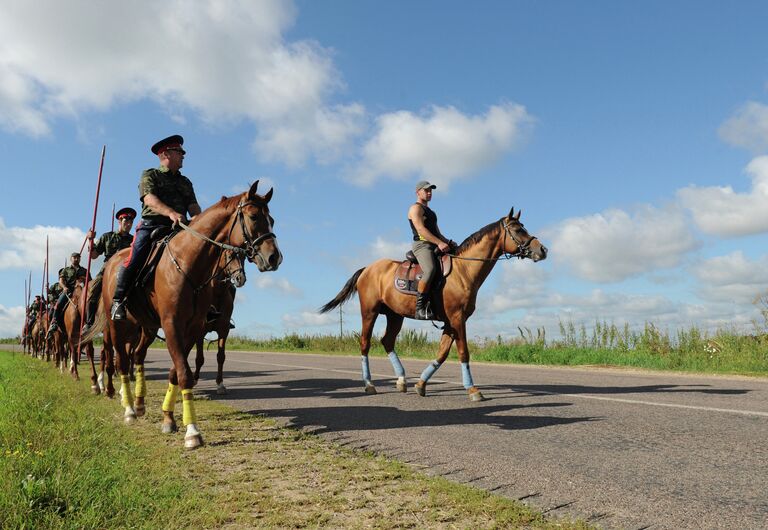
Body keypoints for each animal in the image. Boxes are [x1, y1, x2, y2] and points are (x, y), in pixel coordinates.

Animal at [85, 180, 282, 446]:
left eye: (271, 219)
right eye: (253, 216)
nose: (274, 257)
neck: (190, 263)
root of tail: (112, 264)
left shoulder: (193, 328)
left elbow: (176, 372)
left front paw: (169, 418)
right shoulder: (172, 325)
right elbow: (185, 374)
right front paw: (192, 431)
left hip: (147, 328)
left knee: (137, 357)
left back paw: (139, 403)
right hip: (117, 327)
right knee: (121, 362)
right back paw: (128, 408)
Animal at [318, 206, 544, 400]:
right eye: (518, 229)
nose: (542, 250)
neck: (463, 271)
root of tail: (367, 268)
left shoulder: (451, 322)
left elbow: (442, 354)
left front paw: (420, 384)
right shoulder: (457, 319)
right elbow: (463, 352)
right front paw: (473, 390)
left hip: (395, 315)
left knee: (387, 341)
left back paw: (402, 381)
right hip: (369, 312)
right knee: (365, 343)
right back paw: (369, 384)